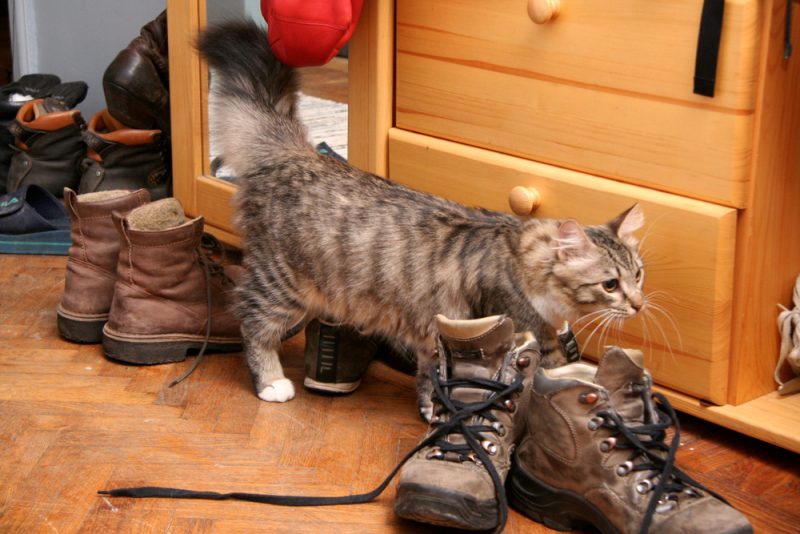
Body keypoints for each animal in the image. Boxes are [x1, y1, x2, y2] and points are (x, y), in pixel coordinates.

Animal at [197, 21, 648, 416]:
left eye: (639, 275)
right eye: (610, 284)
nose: (639, 305)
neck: (521, 259)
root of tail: (298, 155)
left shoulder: (442, 336)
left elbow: (433, 376)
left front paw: (434, 408)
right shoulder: (521, 328)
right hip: (282, 286)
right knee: (251, 321)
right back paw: (271, 382)